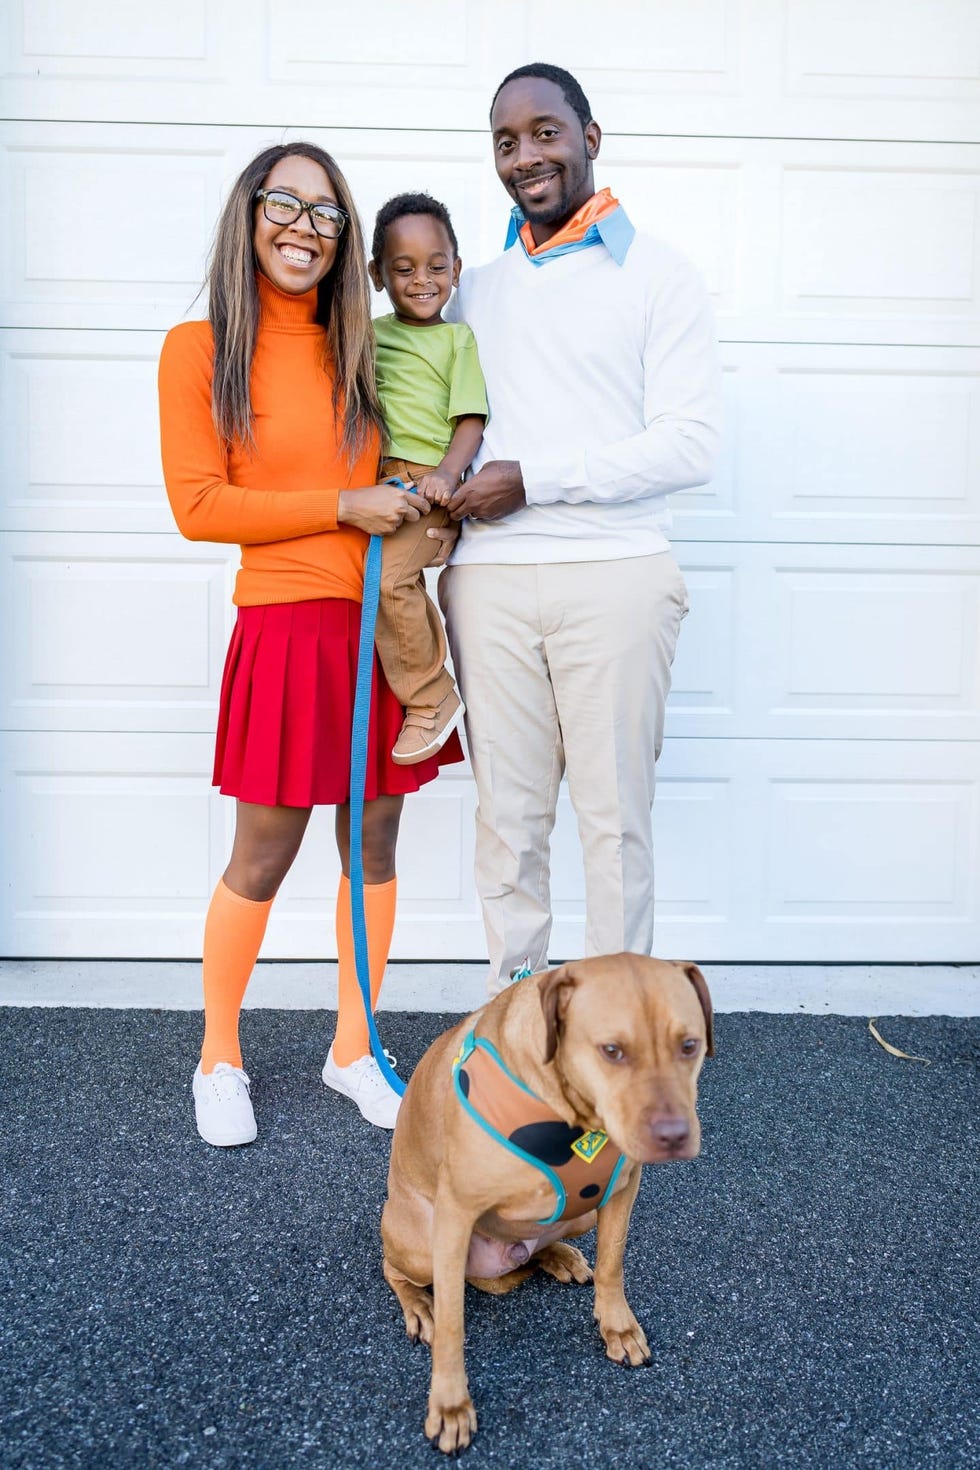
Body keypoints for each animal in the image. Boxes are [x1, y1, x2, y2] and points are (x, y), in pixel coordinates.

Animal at [382, 958, 714, 1452]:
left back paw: (560, 1257)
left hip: (578, 1215)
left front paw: (617, 1326)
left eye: (689, 1045)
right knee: (395, 1270)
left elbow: (613, 1264)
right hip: (421, 1243)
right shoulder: (456, 1215)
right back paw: (418, 1305)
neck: (575, 1116)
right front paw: (450, 1404)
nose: (674, 1136)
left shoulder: (622, 1190)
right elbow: (452, 1326)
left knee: (534, 1249)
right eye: (612, 1051)